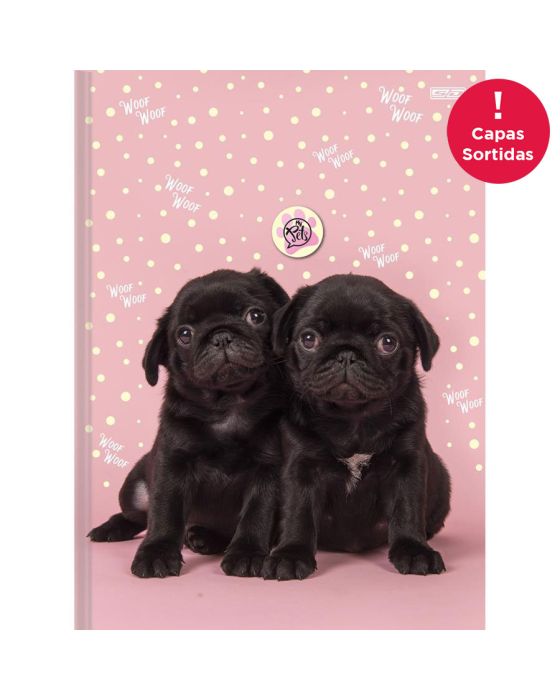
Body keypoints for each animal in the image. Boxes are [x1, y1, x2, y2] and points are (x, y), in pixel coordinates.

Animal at [88, 268, 289, 578]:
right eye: (184, 334)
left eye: (256, 316)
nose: (221, 335)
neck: (228, 405)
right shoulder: (172, 465)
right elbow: (165, 512)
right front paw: (156, 553)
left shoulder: (268, 470)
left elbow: (258, 513)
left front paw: (247, 553)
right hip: (132, 488)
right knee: (138, 516)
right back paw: (112, 528)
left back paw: (203, 537)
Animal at [262, 273, 451, 580]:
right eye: (308, 339)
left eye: (388, 342)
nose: (347, 354)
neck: (352, 418)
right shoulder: (300, 468)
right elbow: (298, 511)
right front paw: (290, 554)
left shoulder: (407, 465)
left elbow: (407, 508)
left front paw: (414, 550)